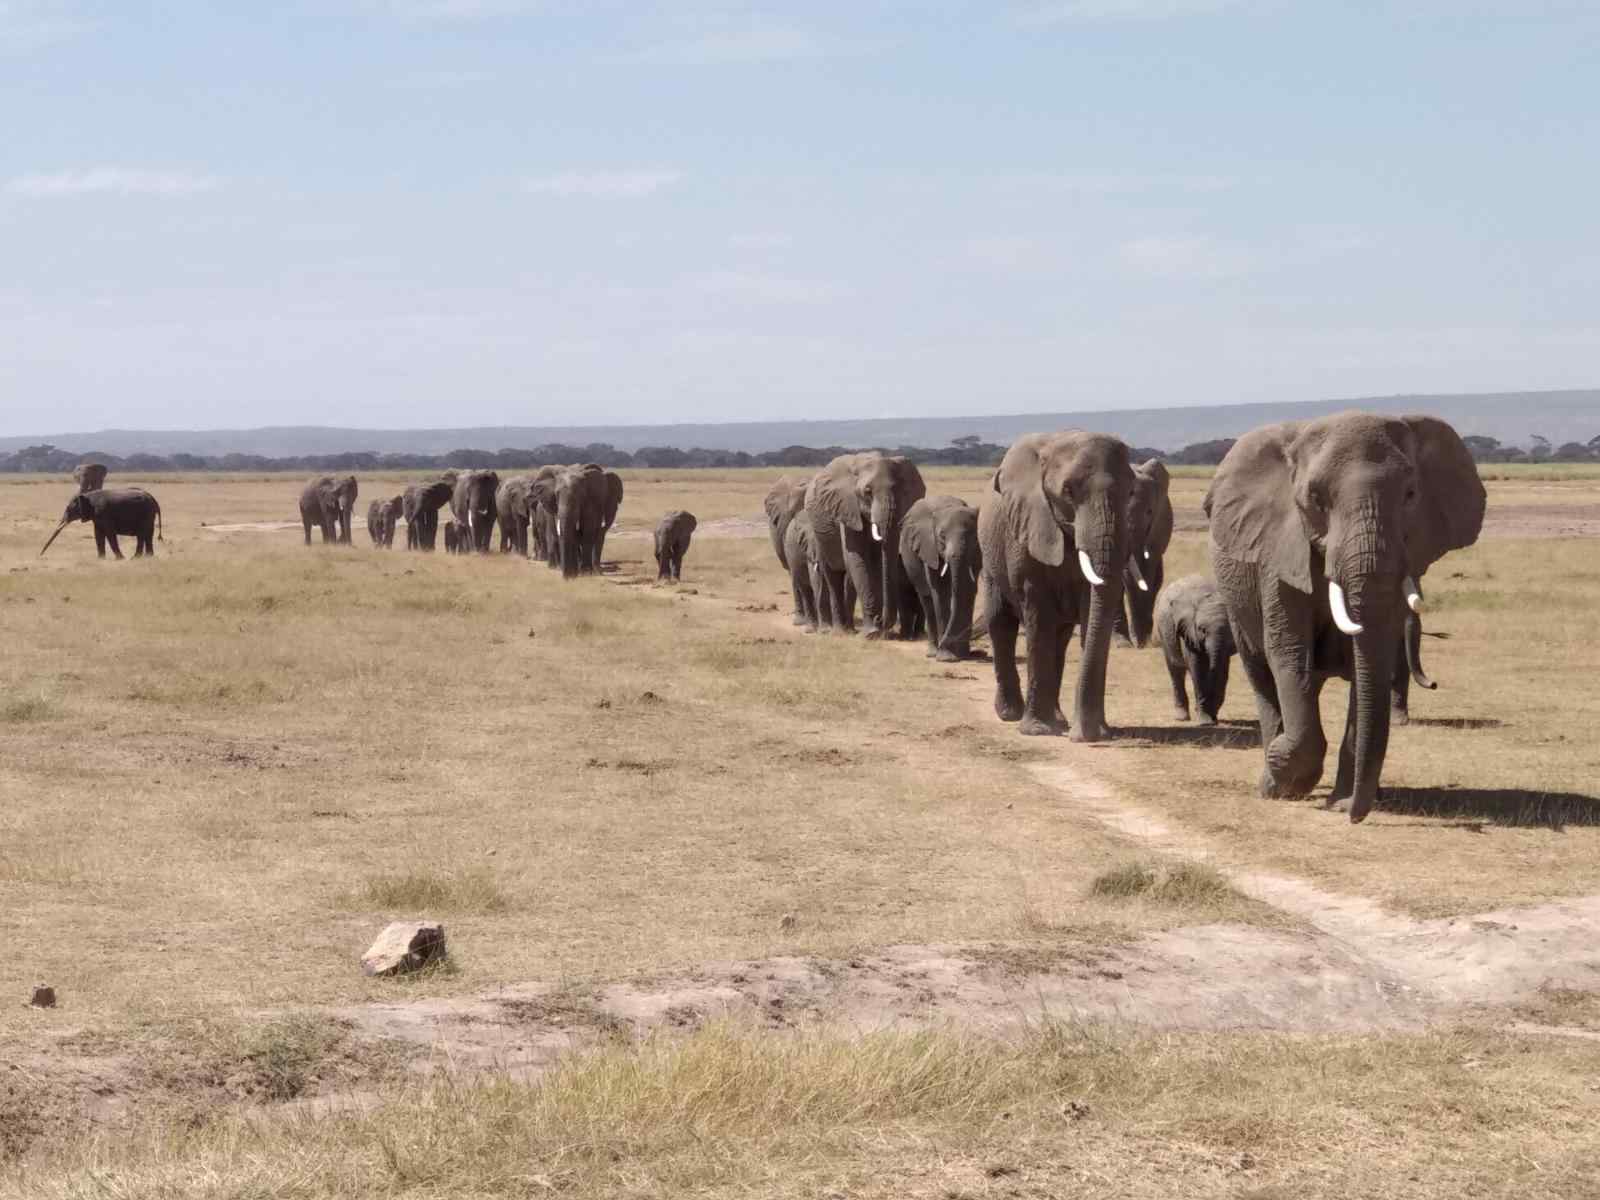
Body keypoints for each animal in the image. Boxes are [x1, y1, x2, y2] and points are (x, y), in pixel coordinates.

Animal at [804, 453, 927, 638]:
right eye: (867, 492)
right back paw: (839, 631)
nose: (881, 621)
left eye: (899, 490)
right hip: (818, 532)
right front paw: (871, 633)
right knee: (831, 573)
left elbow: (876, 563)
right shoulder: (847, 507)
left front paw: (878, 630)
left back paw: (849, 629)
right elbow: (856, 557)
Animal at [899, 496, 982, 661]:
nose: (976, 652)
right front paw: (946, 657)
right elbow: (941, 592)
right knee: (927, 601)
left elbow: (968, 589)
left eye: (972, 535)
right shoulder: (929, 548)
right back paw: (932, 652)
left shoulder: (976, 551)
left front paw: (961, 655)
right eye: (942, 537)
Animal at [977, 431, 1133, 739]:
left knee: (1060, 638)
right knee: (1000, 623)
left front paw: (1095, 731)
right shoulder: (1027, 530)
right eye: (1068, 492)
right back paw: (1011, 714)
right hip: (991, 558)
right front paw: (1037, 731)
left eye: (1131, 492)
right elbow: (1037, 614)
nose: (1083, 736)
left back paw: (1059, 719)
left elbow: (1090, 608)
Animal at [1154, 575, 1235, 725]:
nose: (1213, 718)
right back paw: (1181, 717)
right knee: (1176, 670)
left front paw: (1212, 715)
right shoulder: (1188, 630)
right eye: (1201, 629)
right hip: (1163, 630)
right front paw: (1205, 721)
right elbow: (1197, 667)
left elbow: (1222, 669)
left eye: (1229, 630)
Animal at [1204, 412, 1485, 822]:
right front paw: (1286, 776)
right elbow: (1289, 652)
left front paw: (1343, 800)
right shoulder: (1279, 552)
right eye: (1316, 499)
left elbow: (1367, 662)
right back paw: (1272, 780)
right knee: (1261, 671)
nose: (1355, 815)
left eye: (1410, 494)